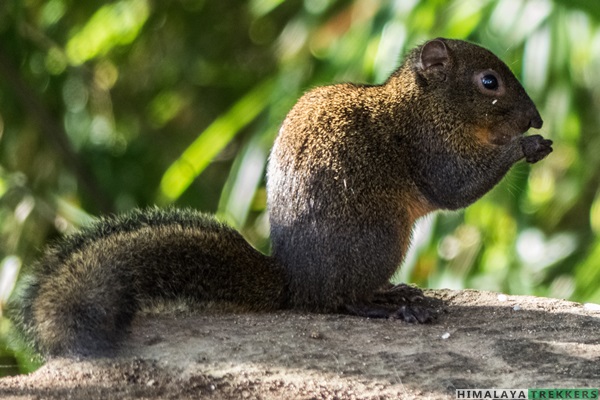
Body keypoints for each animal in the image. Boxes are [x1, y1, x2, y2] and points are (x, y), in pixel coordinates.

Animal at [9, 37, 552, 356]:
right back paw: (390, 306)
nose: (538, 118)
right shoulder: (430, 147)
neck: (426, 104)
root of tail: (296, 282)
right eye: (489, 82)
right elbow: (456, 187)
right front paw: (524, 147)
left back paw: (395, 293)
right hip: (378, 238)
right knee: (339, 301)